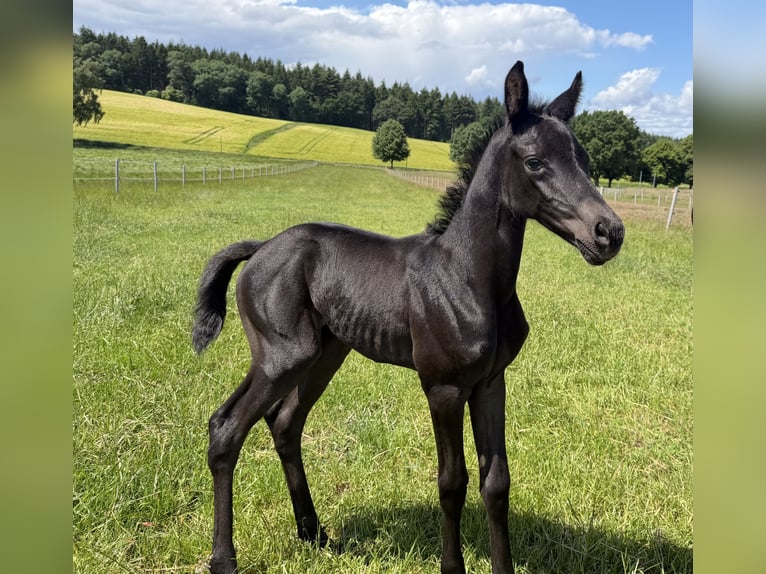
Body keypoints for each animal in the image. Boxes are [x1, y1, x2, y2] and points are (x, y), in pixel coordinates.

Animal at [192, 61, 624, 574]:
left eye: (585, 160)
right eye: (535, 162)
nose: (609, 233)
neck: (468, 276)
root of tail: (260, 247)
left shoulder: (490, 382)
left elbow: (496, 482)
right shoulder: (443, 387)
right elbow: (452, 482)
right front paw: (452, 567)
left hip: (324, 354)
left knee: (285, 424)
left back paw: (314, 533)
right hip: (281, 356)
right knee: (226, 429)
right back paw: (224, 559)